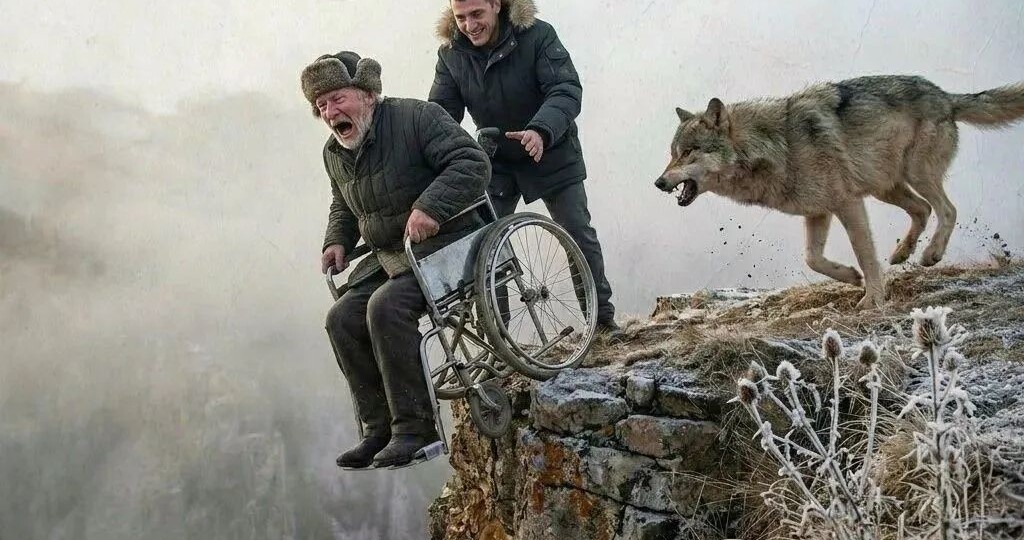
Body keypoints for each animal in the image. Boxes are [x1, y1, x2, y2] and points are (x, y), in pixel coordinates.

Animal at [654, 75, 1024, 309]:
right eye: (672, 153)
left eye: (688, 153)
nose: (658, 182)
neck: (777, 146)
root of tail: (945, 96)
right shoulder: (817, 211)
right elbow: (812, 258)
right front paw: (851, 277)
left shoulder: (848, 203)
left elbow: (865, 254)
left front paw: (873, 299)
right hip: (885, 187)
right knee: (922, 210)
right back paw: (902, 253)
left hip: (913, 175)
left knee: (947, 209)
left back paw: (930, 254)